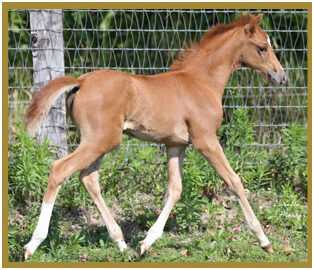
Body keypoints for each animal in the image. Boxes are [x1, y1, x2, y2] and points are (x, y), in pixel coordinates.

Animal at [22, 13, 288, 260]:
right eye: (262, 47)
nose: (282, 77)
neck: (200, 82)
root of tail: (81, 81)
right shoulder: (205, 141)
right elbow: (233, 181)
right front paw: (264, 240)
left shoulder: (176, 145)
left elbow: (174, 189)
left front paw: (146, 242)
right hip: (101, 140)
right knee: (59, 169)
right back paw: (33, 244)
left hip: (99, 141)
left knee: (88, 178)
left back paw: (120, 242)